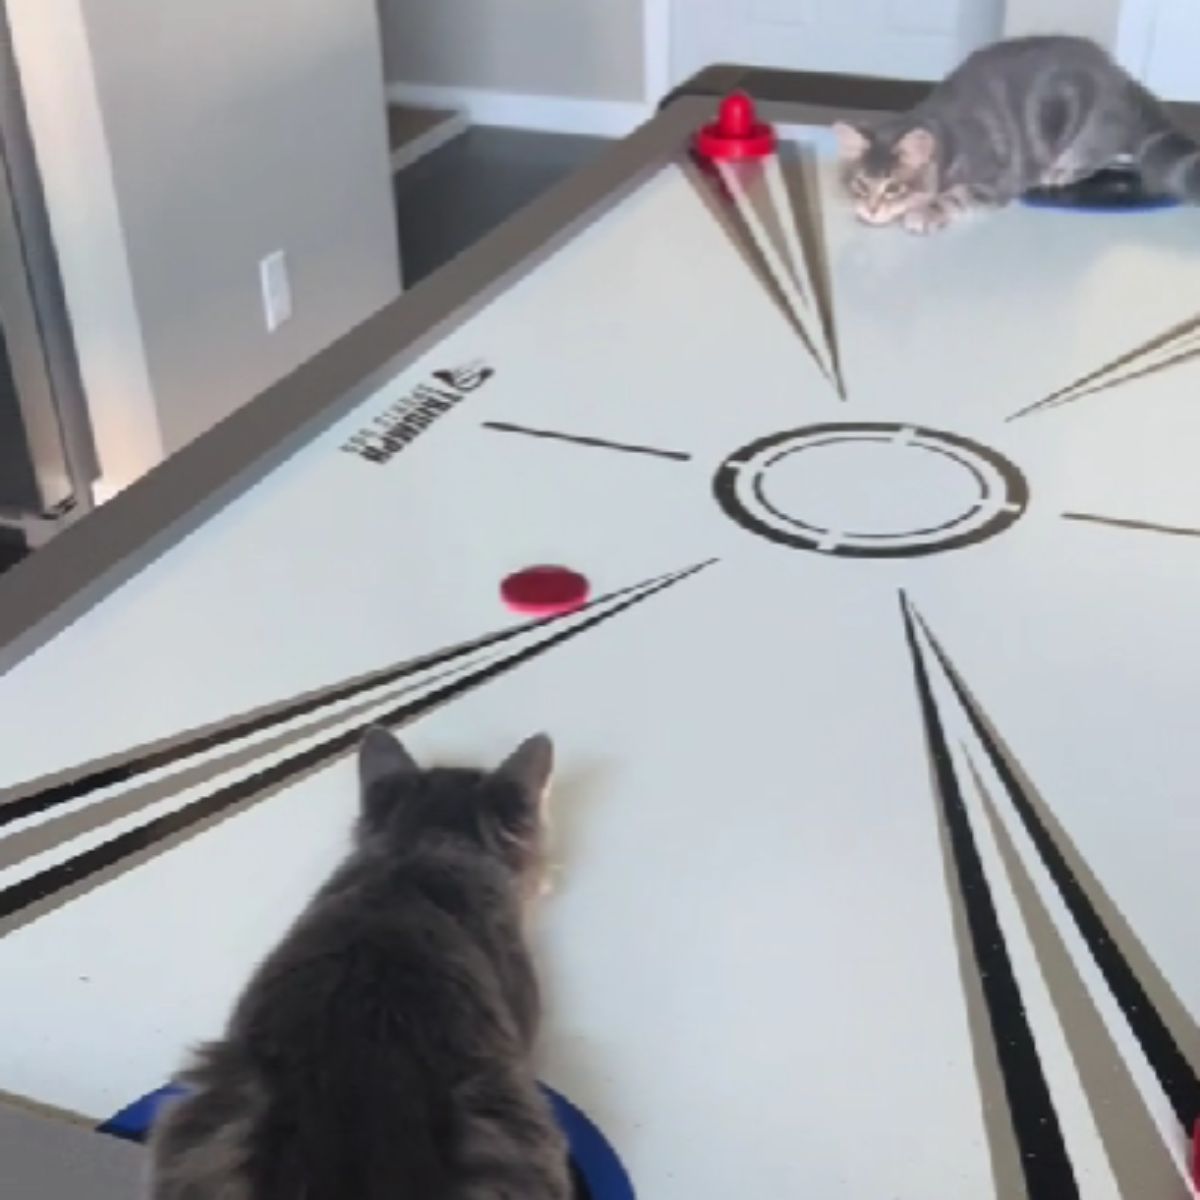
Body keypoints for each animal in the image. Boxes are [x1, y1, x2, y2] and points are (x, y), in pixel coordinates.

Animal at [835, 34, 1200, 232]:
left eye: (894, 187)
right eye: (860, 184)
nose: (870, 209)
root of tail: (1122, 77)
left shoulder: (996, 178)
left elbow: (954, 195)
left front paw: (925, 212)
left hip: (1080, 122)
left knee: (1097, 151)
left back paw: (1061, 170)